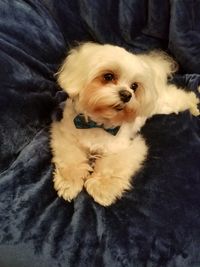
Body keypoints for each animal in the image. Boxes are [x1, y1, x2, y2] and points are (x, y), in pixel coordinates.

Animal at [50, 42, 198, 207]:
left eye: (134, 86)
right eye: (108, 76)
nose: (127, 95)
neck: (99, 124)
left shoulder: (125, 148)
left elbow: (111, 167)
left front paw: (102, 188)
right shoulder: (66, 135)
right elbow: (71, 159)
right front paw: (69, 182)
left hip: (166, 104)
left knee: (184, 96)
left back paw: (195, 107)